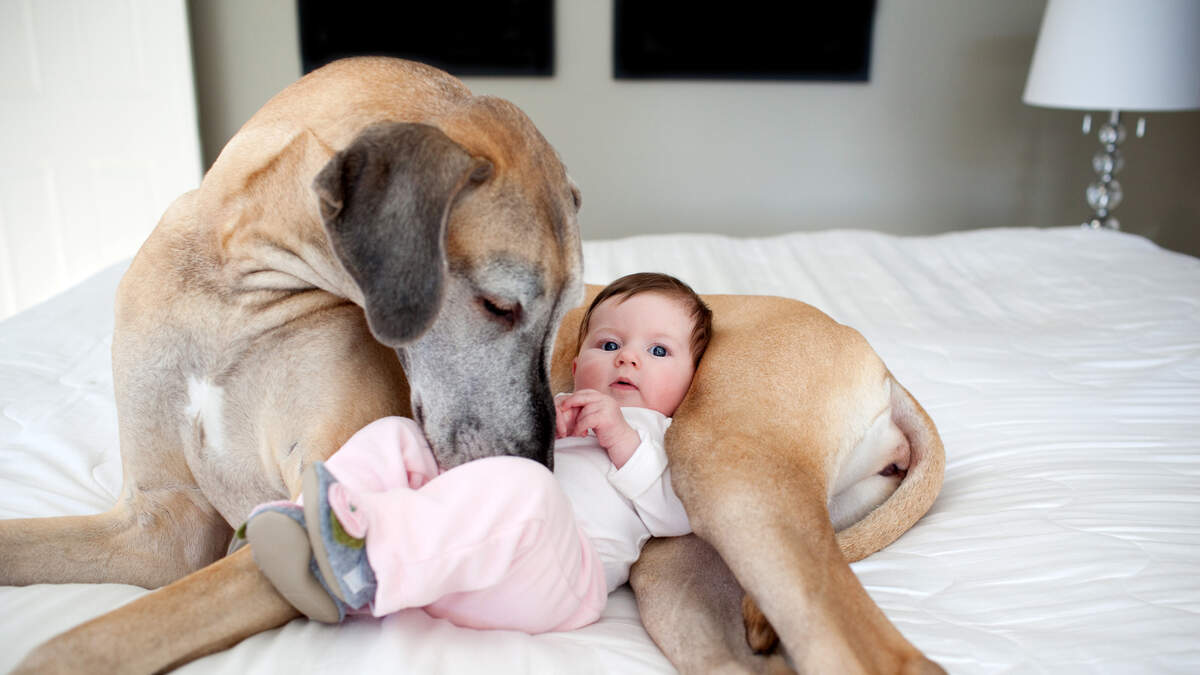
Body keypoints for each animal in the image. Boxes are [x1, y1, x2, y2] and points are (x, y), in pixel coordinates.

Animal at [3, 57, 585, 671]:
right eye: (499, 305)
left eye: (562, 309)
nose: (539, 470)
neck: (234, 290)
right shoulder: (160, 523)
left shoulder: (305, 534)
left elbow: (91, 638)